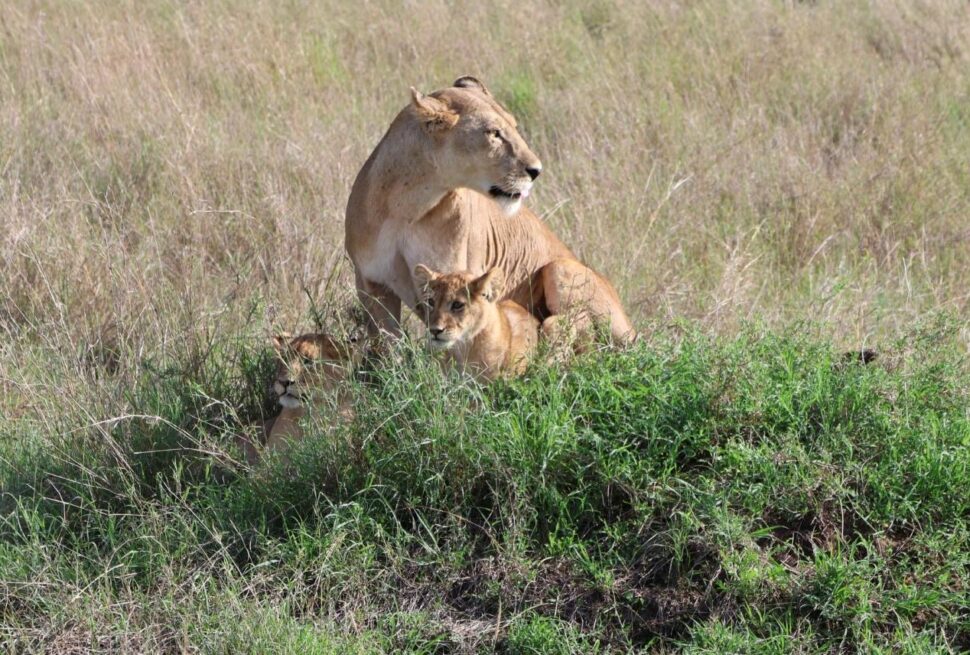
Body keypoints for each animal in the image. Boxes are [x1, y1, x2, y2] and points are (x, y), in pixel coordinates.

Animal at [345, 75, 636, 346]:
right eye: (494, 133)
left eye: (514, 127)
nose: (537, 170)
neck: (408, 207)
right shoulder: (371, 284)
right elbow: (387, 345)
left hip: (561, 268)